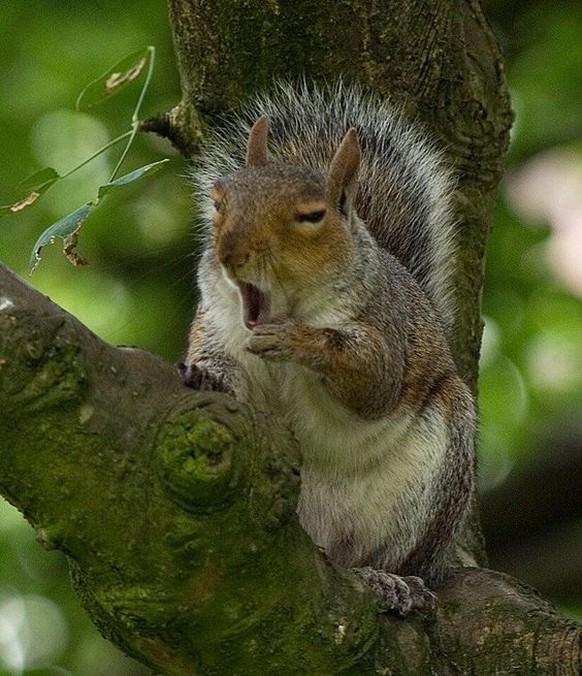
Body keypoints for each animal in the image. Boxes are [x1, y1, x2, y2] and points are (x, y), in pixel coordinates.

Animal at [184, 82, 480, 616]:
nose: (230, 253)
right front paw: (207, 376)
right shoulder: (215, 321)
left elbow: (372, 381)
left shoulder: (385, 328)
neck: (289, 302)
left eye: (312, 215)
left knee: (392, 557)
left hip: (434, 482)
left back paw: (387, 579)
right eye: (218, 202)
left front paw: (297, 339)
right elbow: (221, 366)